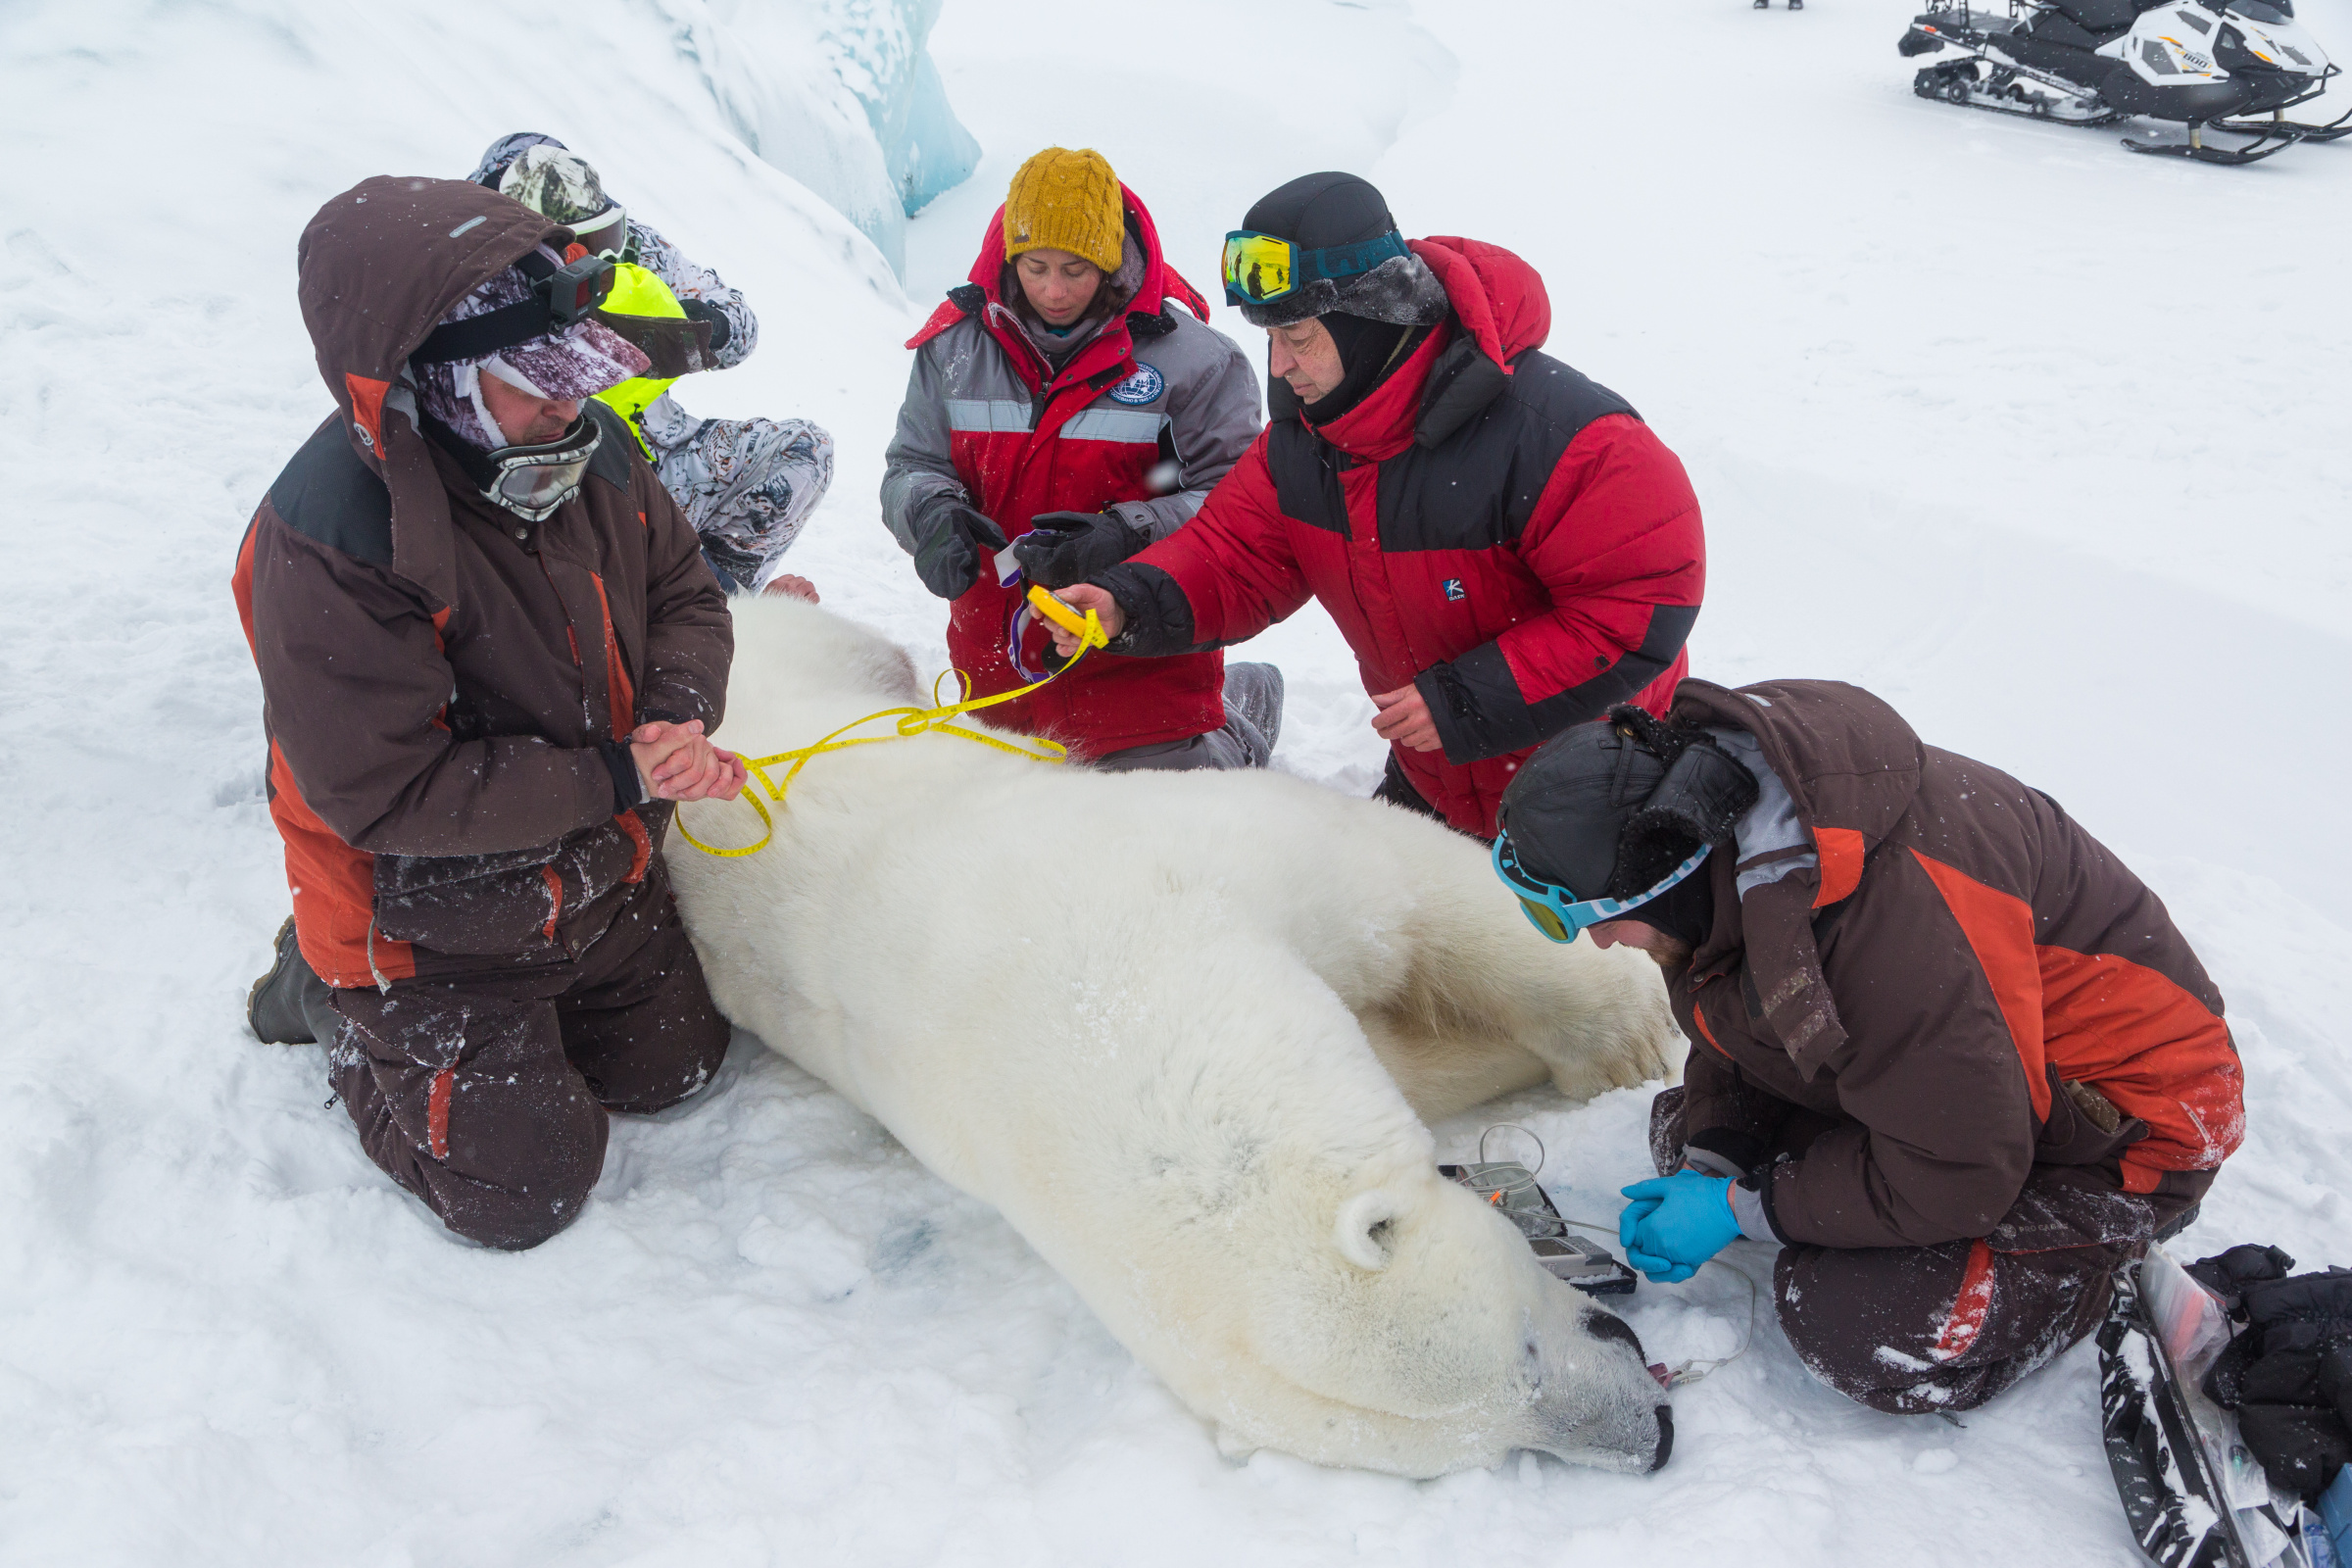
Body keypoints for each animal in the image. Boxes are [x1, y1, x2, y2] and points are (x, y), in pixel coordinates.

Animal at [672, 594, 1684, 1476]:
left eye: (1525, 1350)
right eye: (1489, 1432)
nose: (1654, 1430)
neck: (1086, 989)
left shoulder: (1183, 853)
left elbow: (1407, 887)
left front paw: (1637, 1039)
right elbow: (1414, 1041)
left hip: (806, 662)